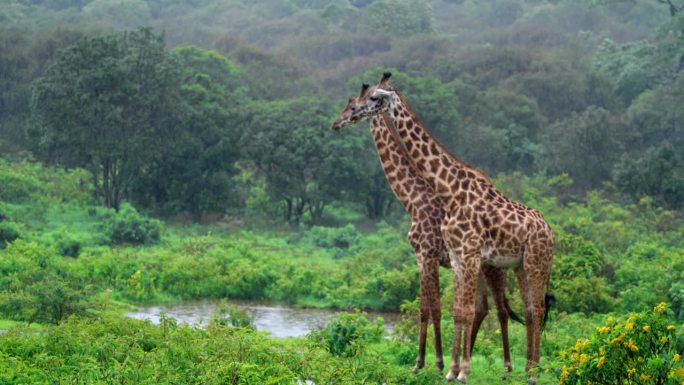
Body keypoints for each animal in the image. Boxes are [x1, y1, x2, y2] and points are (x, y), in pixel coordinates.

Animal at [352, 73, 556, 382]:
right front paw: (451, 370)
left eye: (374, 97)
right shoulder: (458, 258)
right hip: (519, 265)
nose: (350, 113)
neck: (450, 190)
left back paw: (530, 372)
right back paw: (528, 369)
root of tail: (551, 232)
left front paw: (454, 370)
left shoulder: (461, 254)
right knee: (530, 309)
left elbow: (459, 309)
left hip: (533, 262)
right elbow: (458, 310)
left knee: (534, 308)